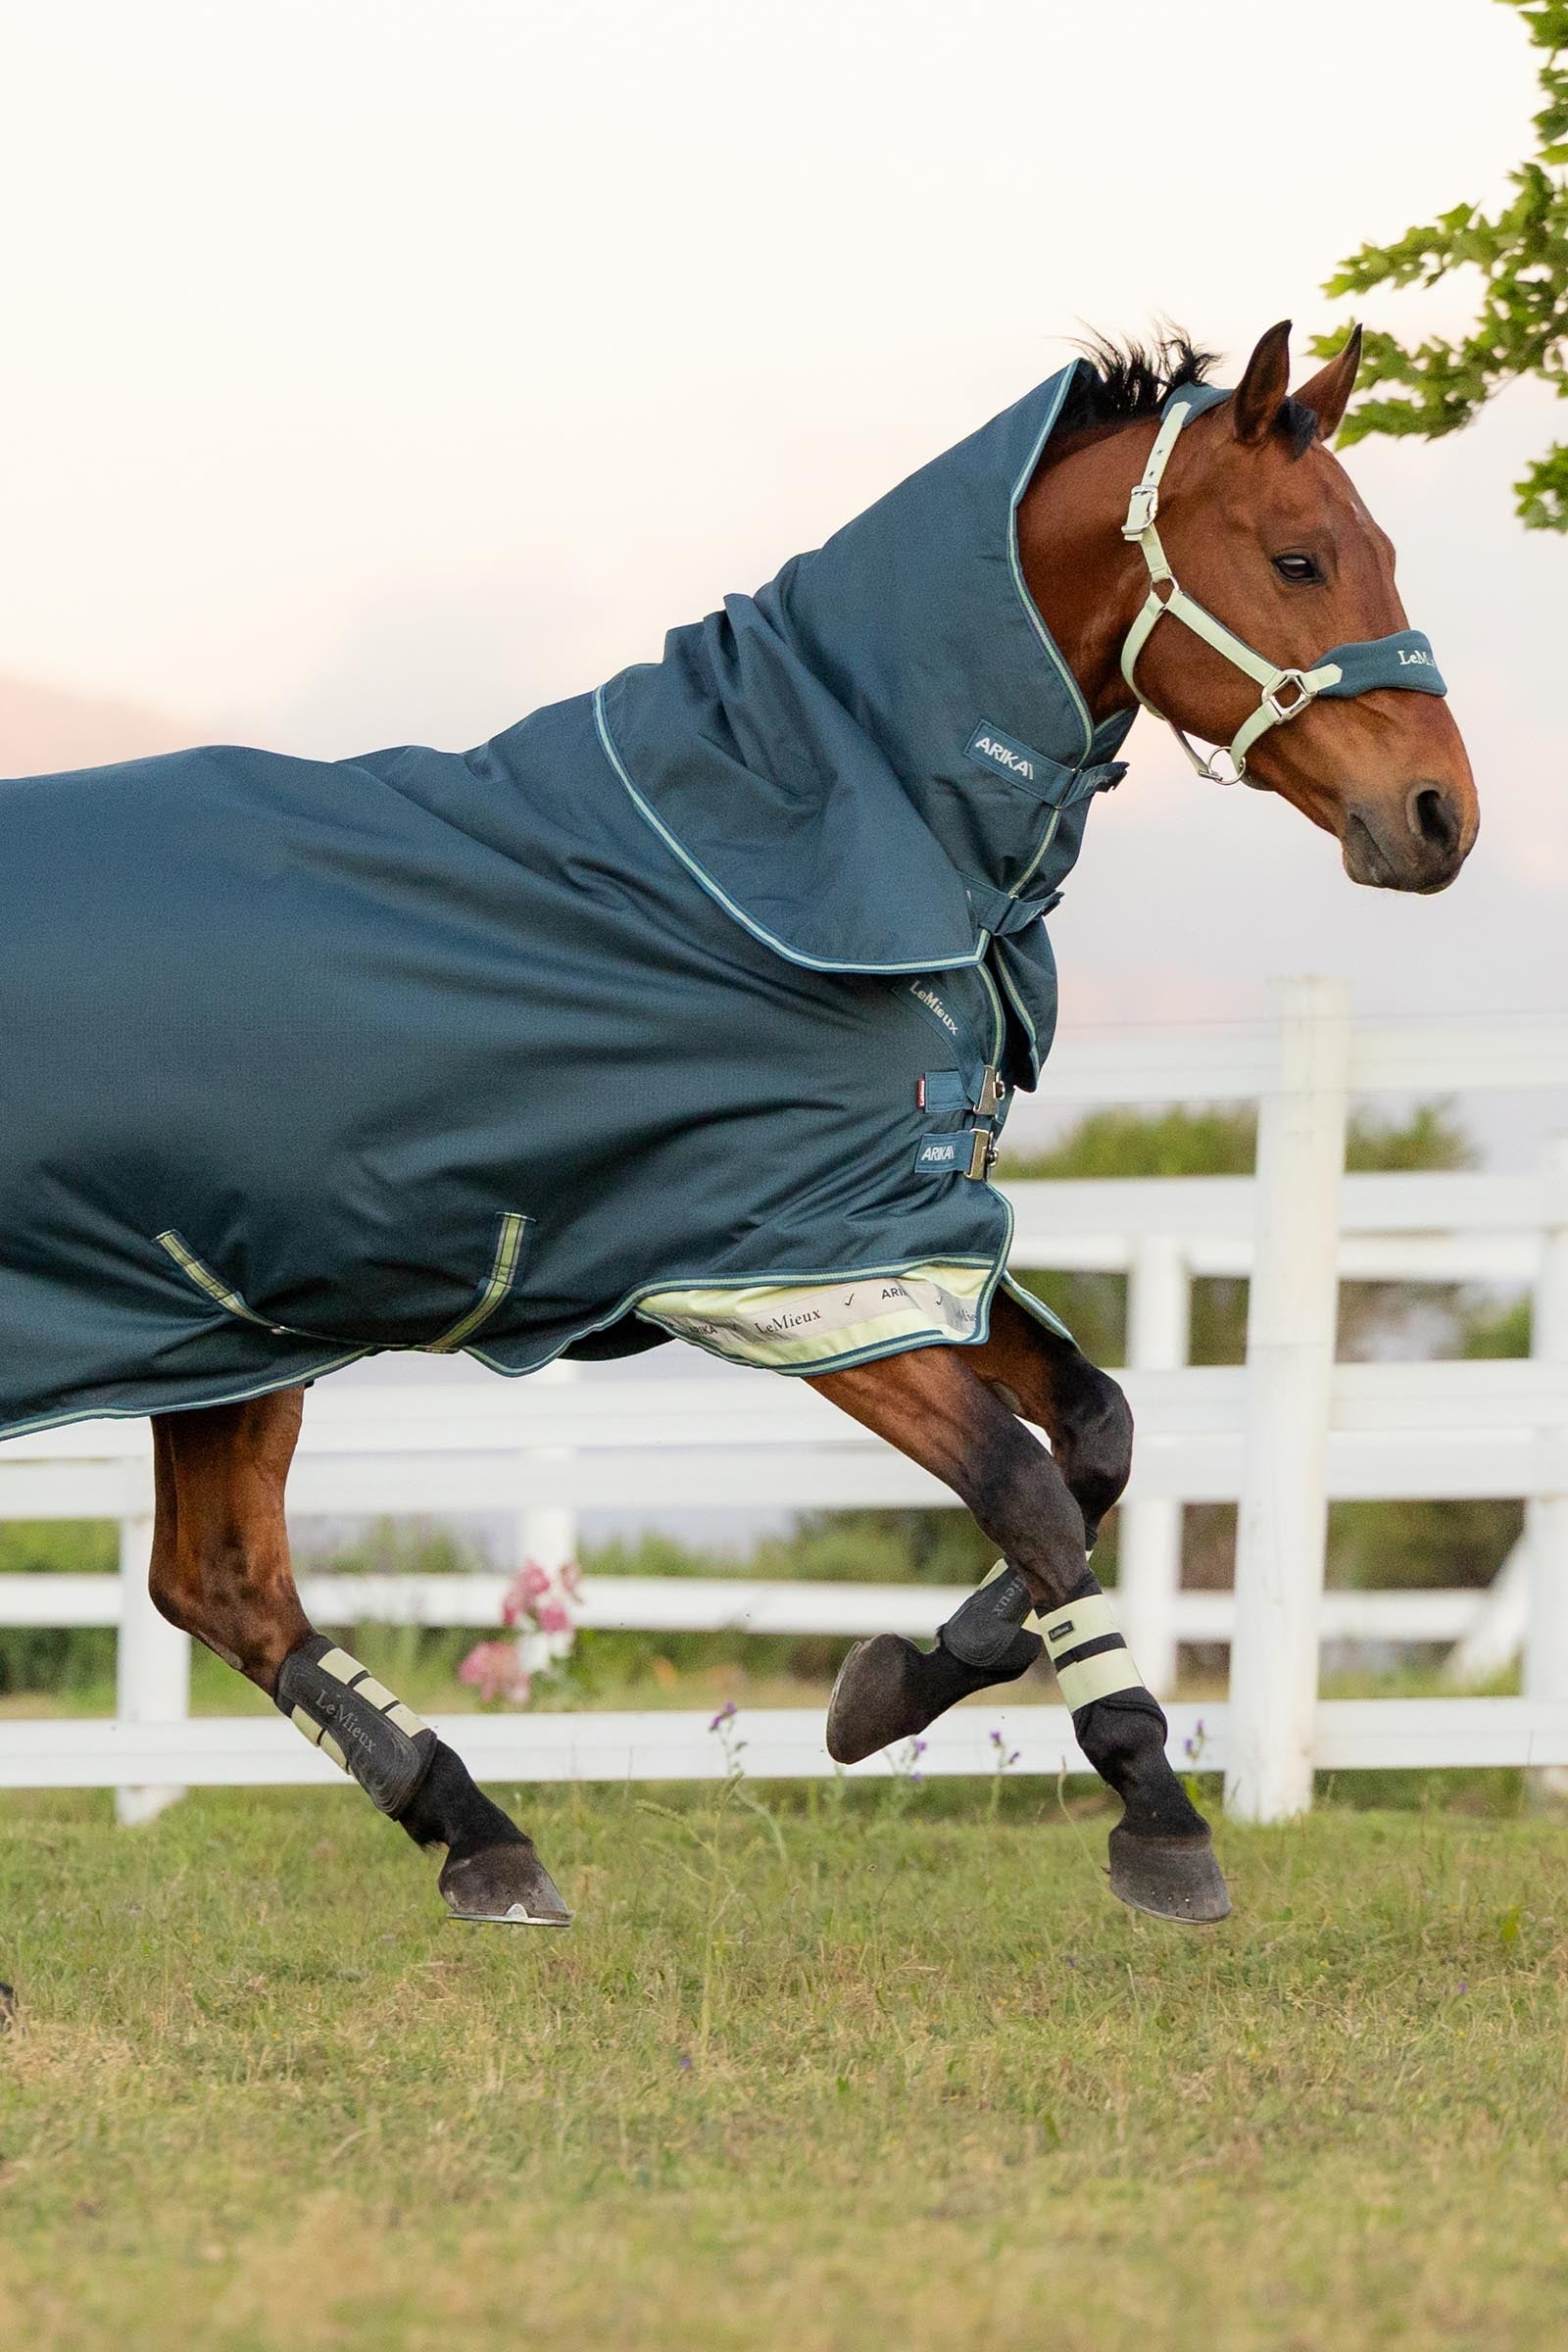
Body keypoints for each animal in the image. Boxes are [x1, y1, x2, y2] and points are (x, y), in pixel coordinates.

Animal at [0, 321, 1476, 1927]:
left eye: (1385, 549)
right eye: (1296, 559)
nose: (1439, 814)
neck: (803, 832)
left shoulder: (896, 1238)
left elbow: (1097, 1436)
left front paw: (905, 1680)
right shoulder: (788, 1272)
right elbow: (1024, 1486)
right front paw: (1156, 1811)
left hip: (231, 1328)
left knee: (222, 1585)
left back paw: (482, 1837)